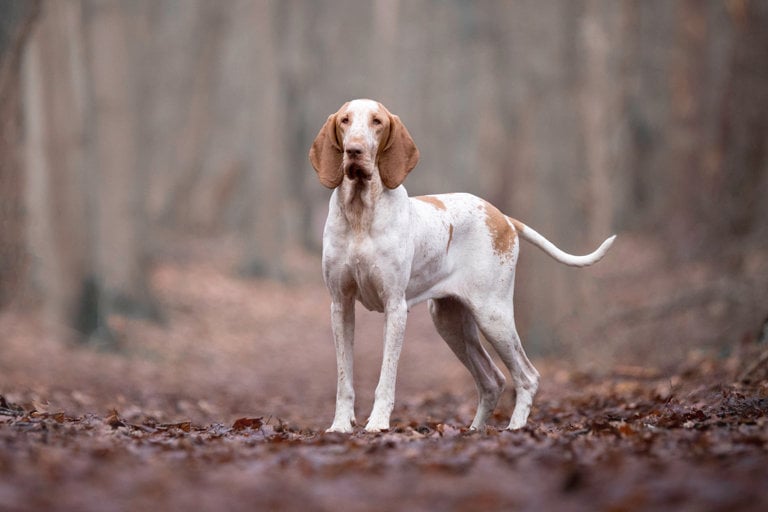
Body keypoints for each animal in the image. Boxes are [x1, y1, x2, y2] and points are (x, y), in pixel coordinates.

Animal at [308, 99, 616, 432]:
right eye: (345, 121)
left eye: (376, 122)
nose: (354, 150)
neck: (360, 214)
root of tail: (503, 217)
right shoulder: (341, 306)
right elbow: (344, 379)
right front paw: (340, 425)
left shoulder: (395, 307)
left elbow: (386, 378)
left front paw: (377, 423)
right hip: (451, 322)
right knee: (492, 380)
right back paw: (475, 430)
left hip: (493, 315)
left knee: (527, 376)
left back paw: (515, 428)